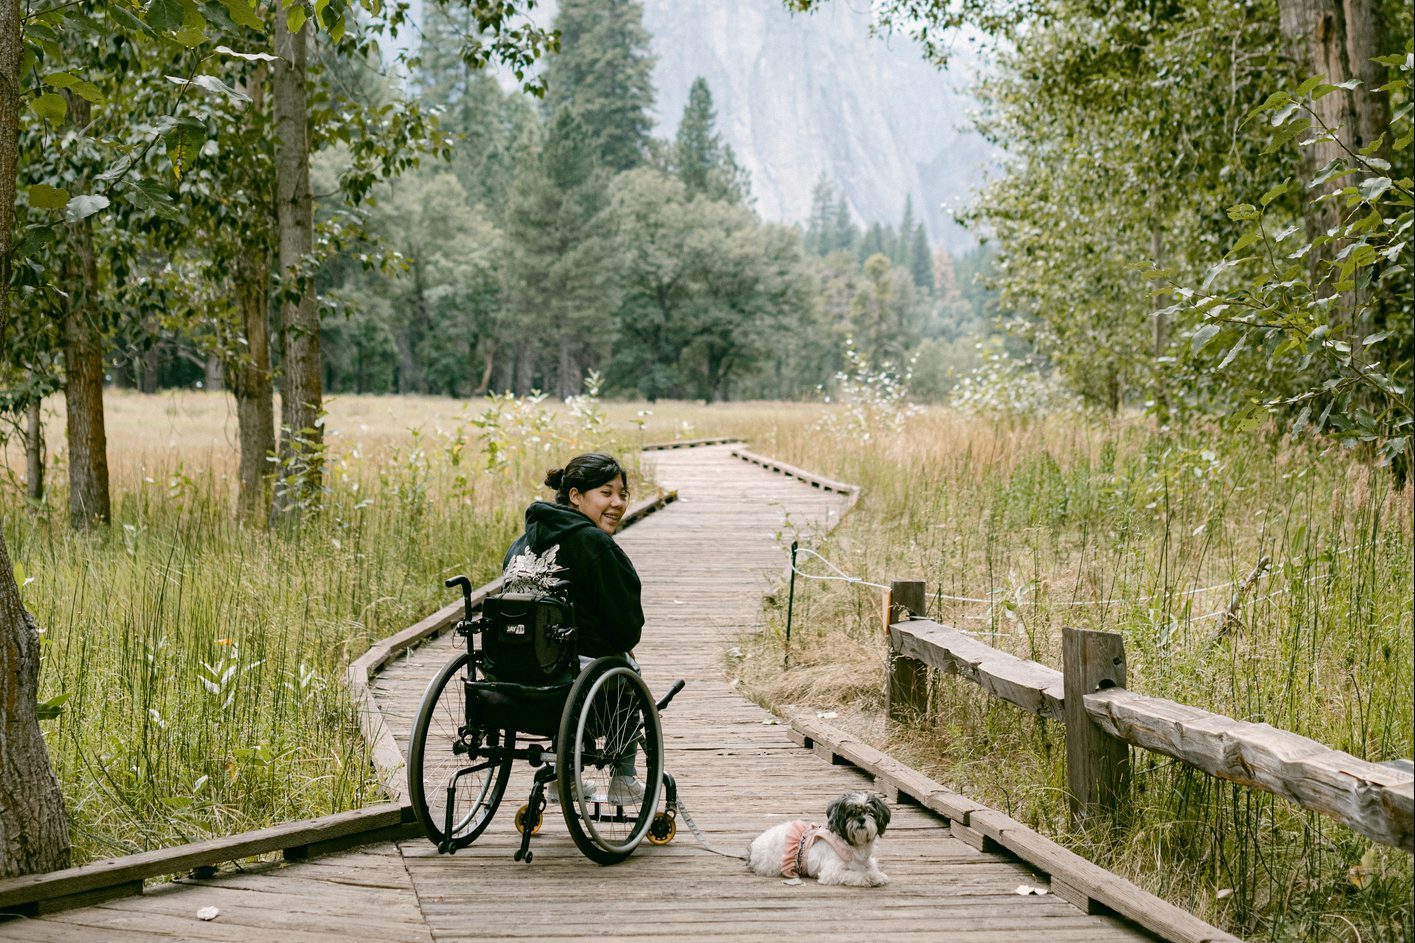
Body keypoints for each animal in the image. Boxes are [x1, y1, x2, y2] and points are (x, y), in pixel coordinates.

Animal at [747, 787, 888, 883]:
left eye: (870, 812)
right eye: (850, 814)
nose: (861, 819)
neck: (852, 845)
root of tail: (753, 847)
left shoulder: (866, 862)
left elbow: (871, 867)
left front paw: (878, 875)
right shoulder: (831, 872)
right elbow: (855, 874)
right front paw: (868, 877)